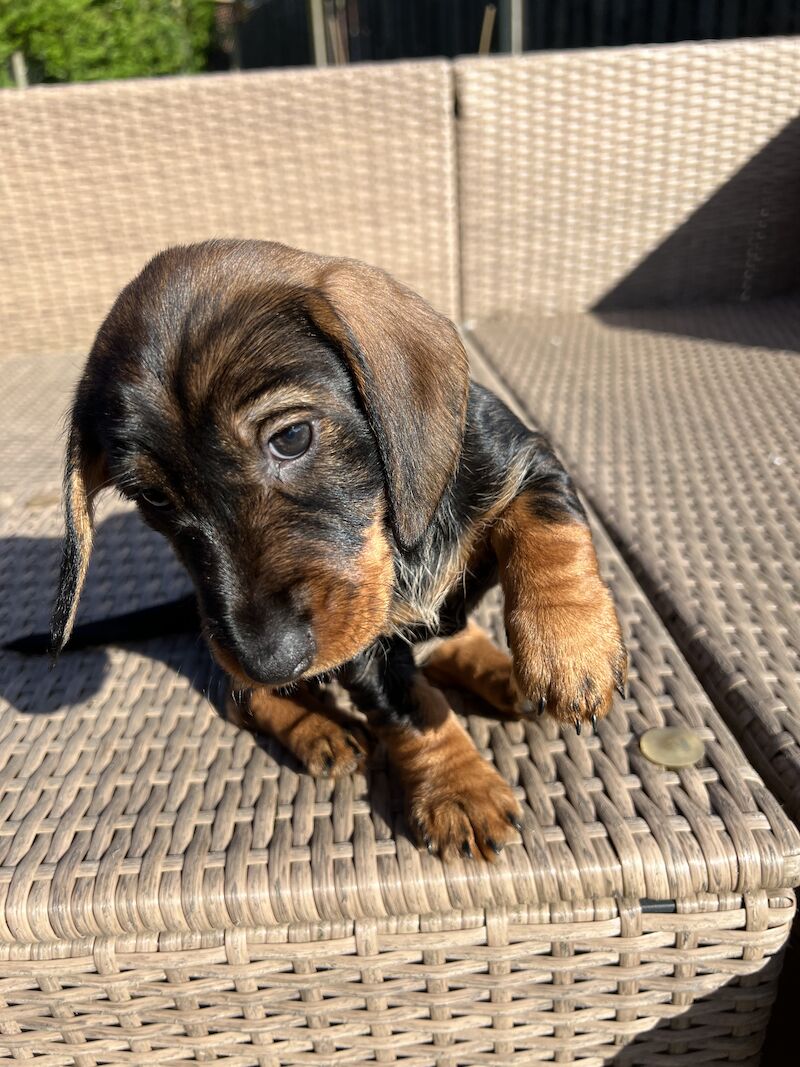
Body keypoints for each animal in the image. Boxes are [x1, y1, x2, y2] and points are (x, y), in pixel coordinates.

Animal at [46, 240, 631, 857]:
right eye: (152, 497)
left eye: (291, 437)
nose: (269, 660)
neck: (396, 542)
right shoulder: (362, 651)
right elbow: (412, 706)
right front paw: (459, 790)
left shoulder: (529, 461)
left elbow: (548, 524)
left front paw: (570, 646)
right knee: (240, 699)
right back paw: (320, 730)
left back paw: (501, 672)